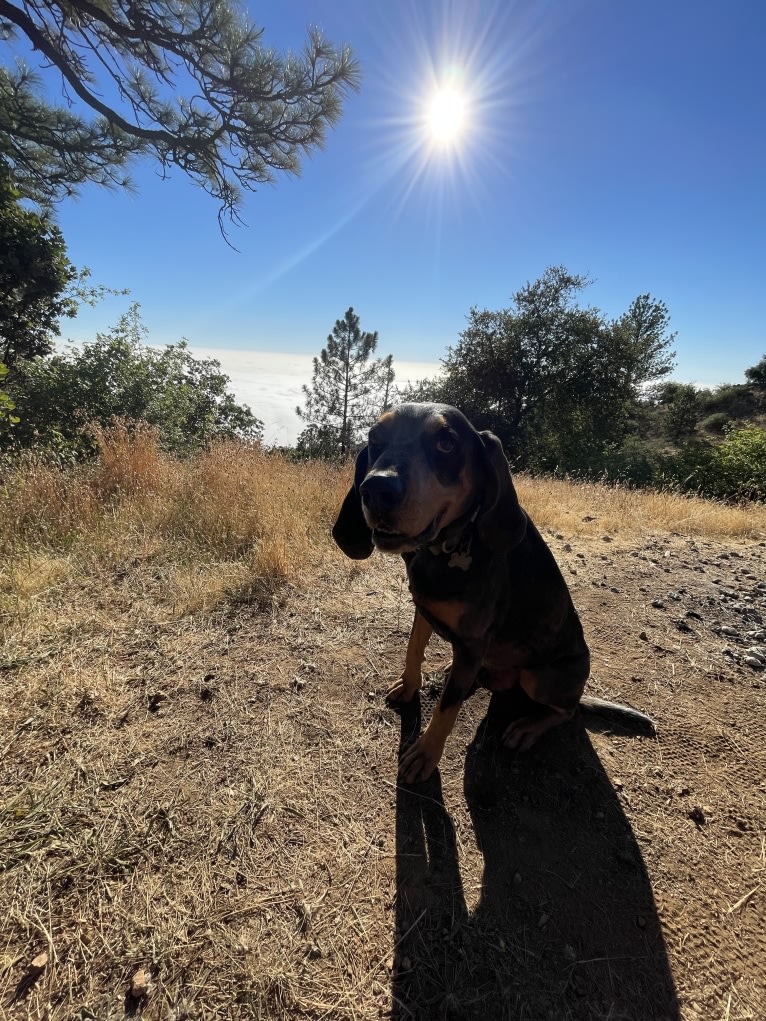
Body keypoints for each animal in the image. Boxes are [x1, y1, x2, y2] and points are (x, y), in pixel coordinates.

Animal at [332, 402, 657, 784]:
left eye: (446, 443)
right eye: (375, 437)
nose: (376, 490)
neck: (449, 547)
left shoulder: (473, 642)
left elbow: (445, 709)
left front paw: (426, 754)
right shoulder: (424, 609)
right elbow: (413, 651)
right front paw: (409, 686)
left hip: (541, 677)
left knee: (566, 710)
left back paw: (528, 726)